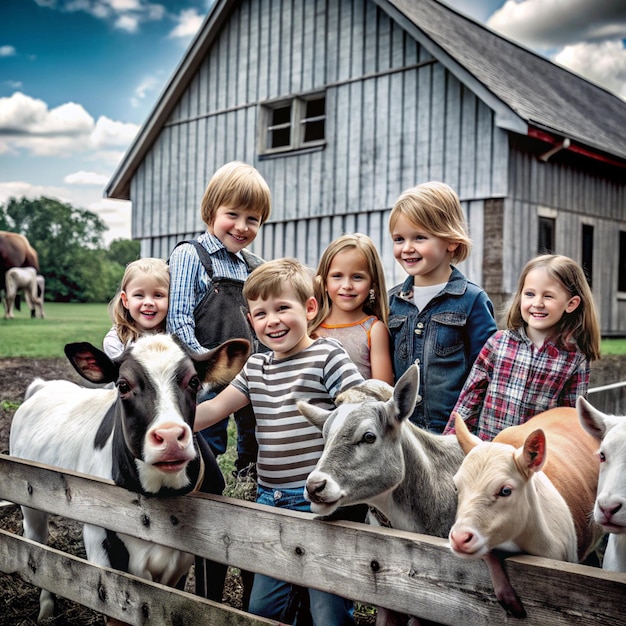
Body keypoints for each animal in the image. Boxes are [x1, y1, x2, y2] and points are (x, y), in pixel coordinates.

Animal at [9, 332, 249, 620]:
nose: (170, 436)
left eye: (193, 381)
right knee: (37, 549)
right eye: (122, 385)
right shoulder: (105, 557)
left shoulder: (202, 562)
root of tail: (44, 386)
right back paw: (46, 607)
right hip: (30, 500)